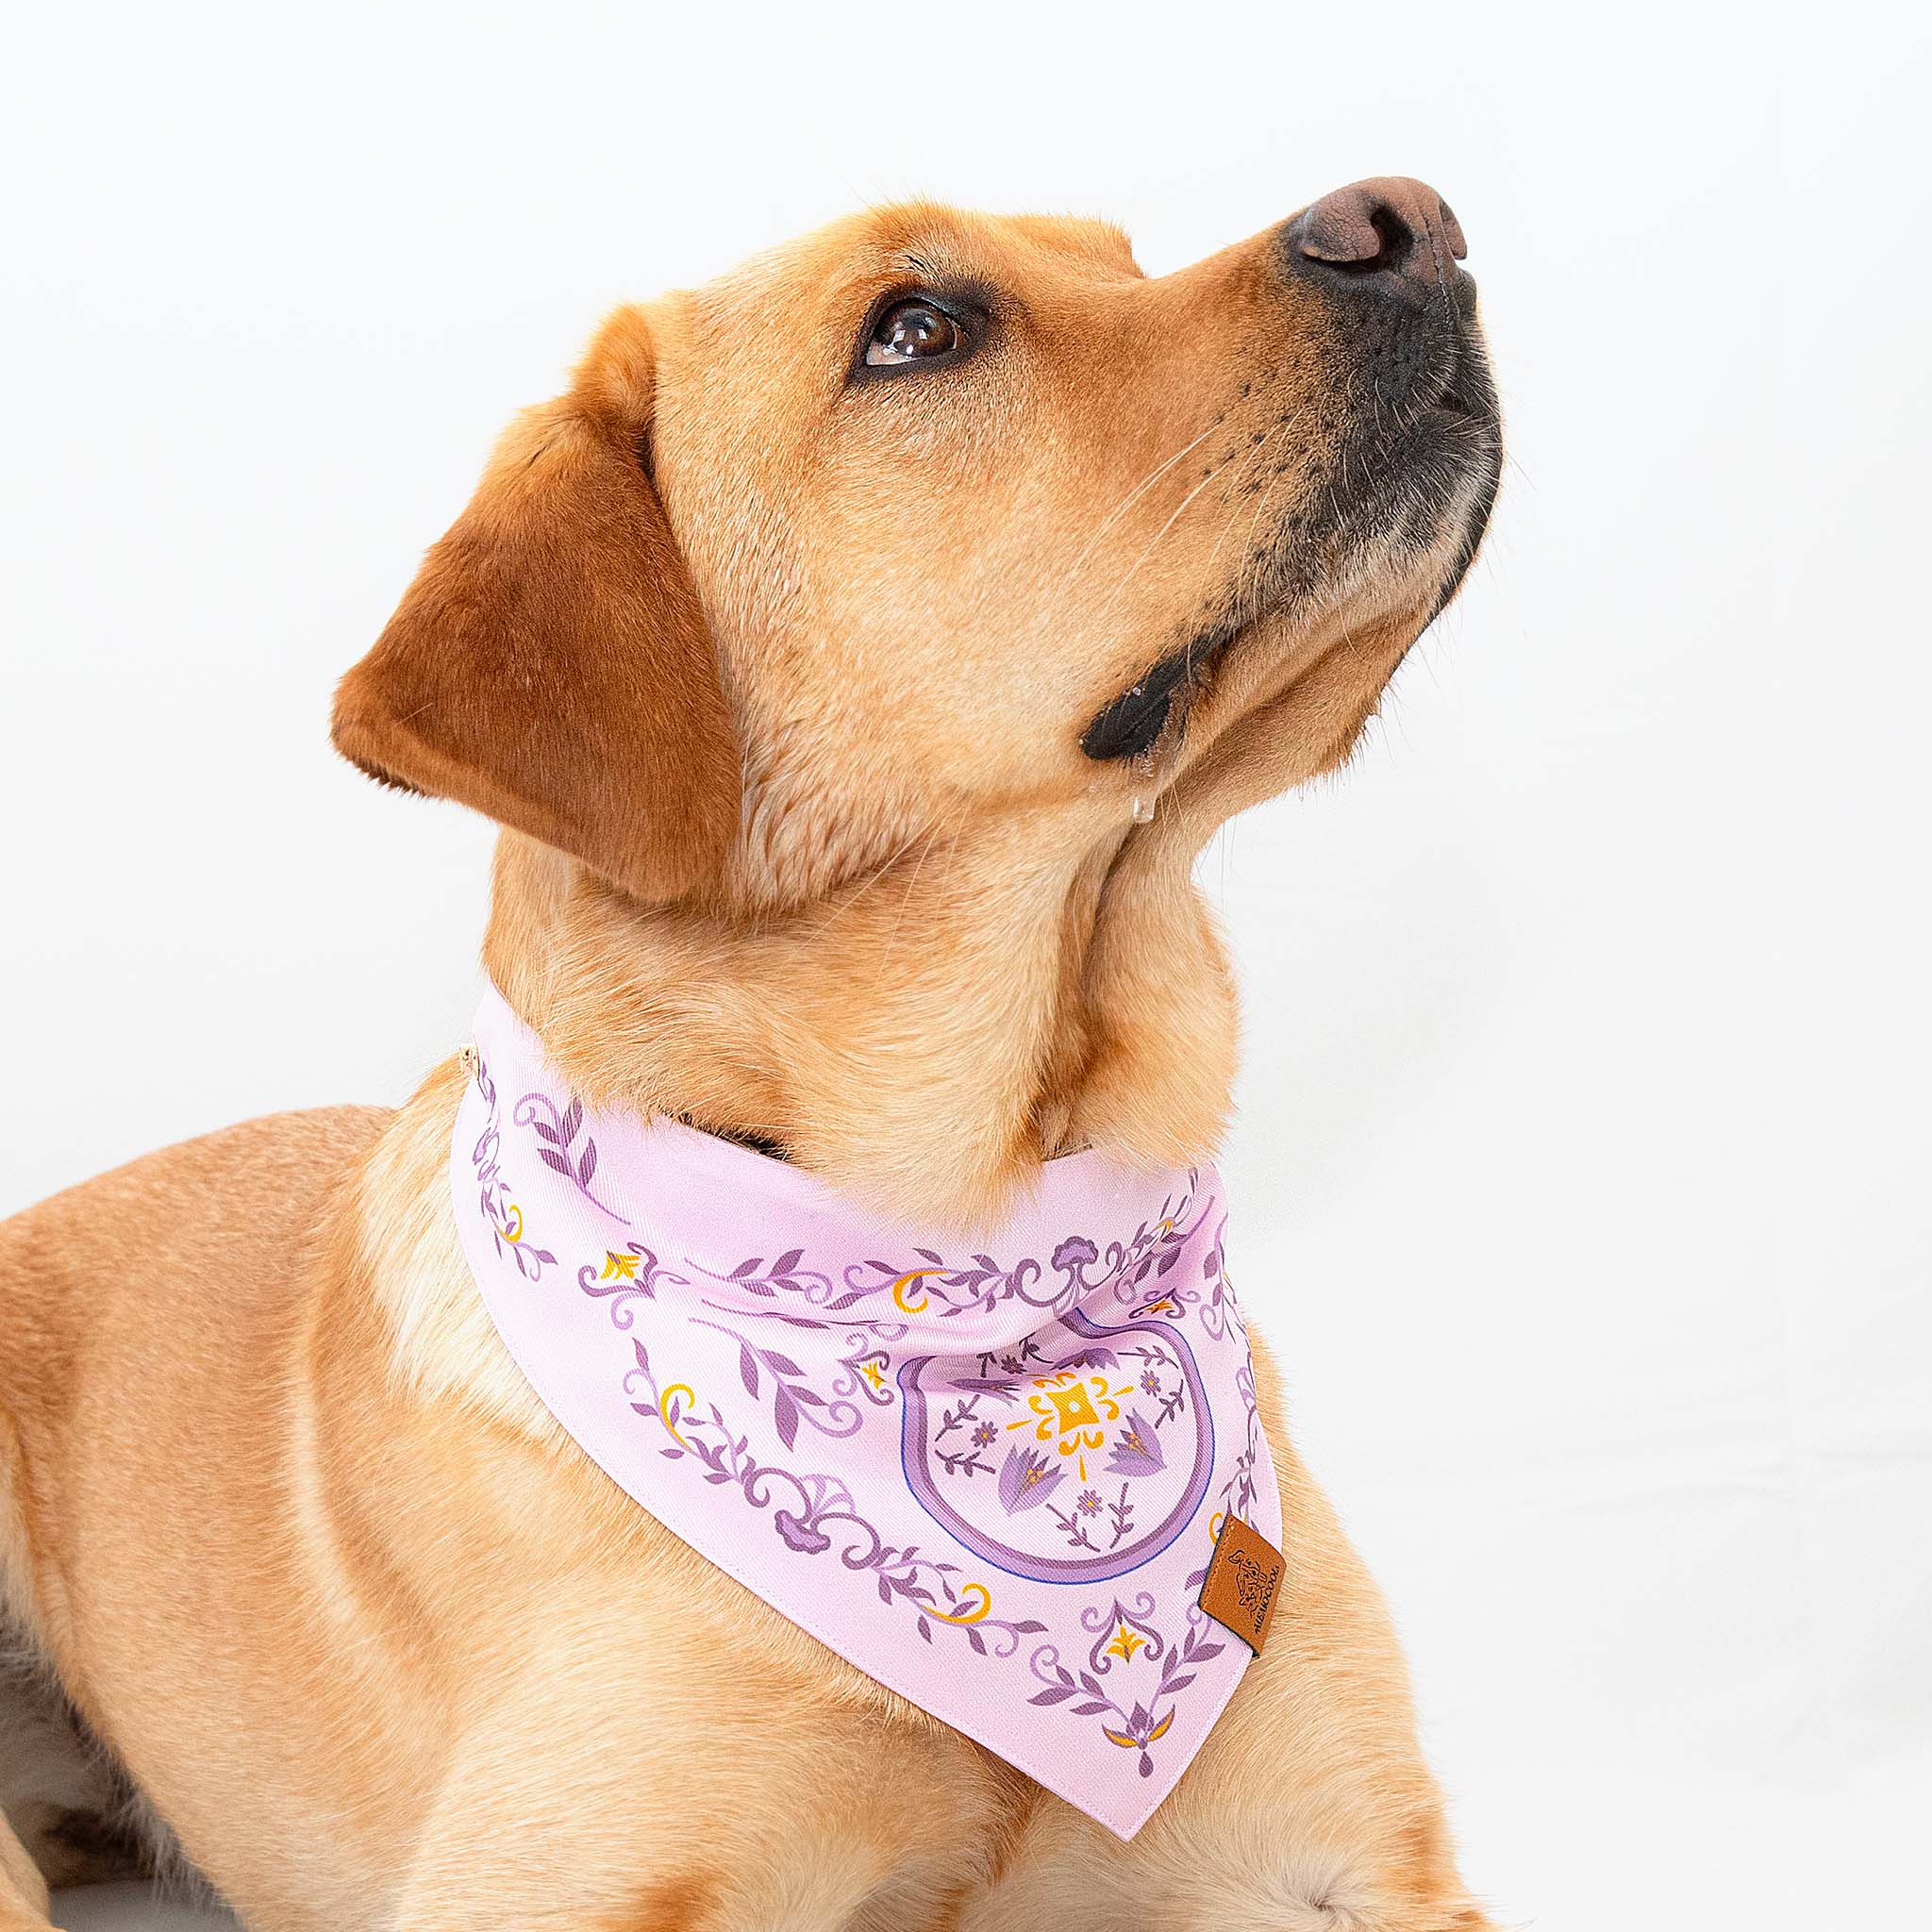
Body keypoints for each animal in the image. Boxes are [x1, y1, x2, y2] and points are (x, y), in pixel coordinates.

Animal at [0, 184, 1499, 1932]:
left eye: (1121, 260)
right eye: (915, 328)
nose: (1413, 220)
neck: (967, 1244)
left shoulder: (1366, 1854)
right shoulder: (548, 1877)